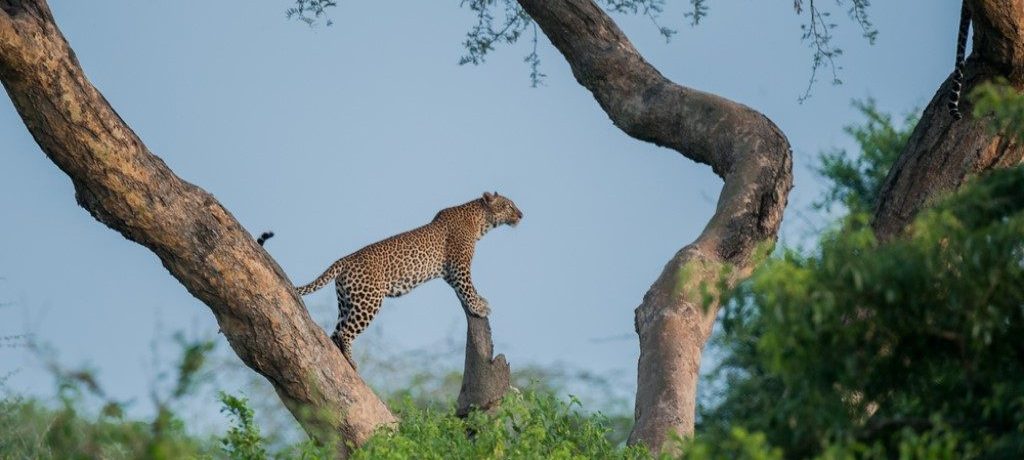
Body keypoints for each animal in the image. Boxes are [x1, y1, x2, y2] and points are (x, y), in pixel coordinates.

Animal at [260, 191, 524, 366]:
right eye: (509, 206)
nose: (522, 214)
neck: (480, 221)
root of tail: (344, 259)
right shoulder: (458, 267)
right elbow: (467, 288)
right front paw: (479, 306)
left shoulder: (449, 272)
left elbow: (467, 289)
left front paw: (479, 302)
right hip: (369, 301)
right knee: (345, 333)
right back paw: (352, 362)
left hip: (347, 301)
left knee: (335, 333)